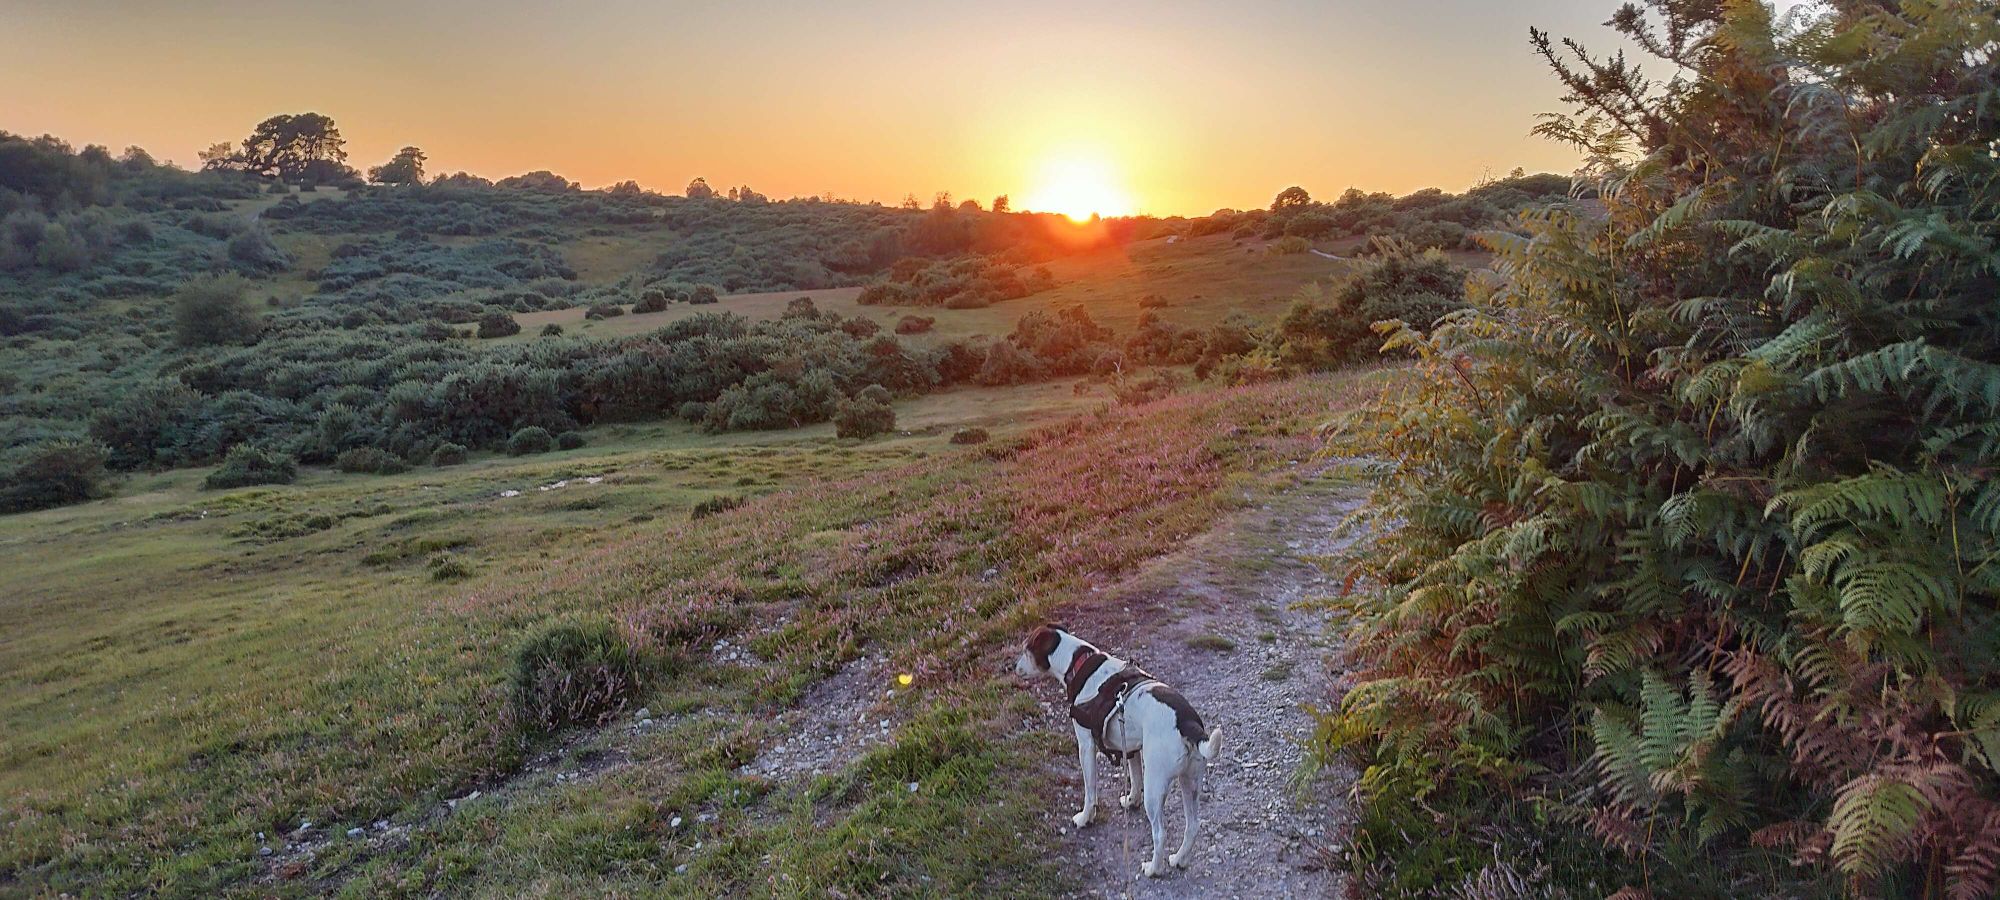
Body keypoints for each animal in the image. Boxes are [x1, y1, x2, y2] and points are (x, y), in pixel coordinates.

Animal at [1016, 624, 1216, 876]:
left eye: (1026, 649)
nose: (1013, 667)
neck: (1078, 662)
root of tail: (1187, 723)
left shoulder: (1086, 746)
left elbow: (1090, 791)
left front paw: (1085, 818)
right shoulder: (1130, 747)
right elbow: (1135, 779)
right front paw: (1131, 801)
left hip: (1156, 786)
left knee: (1160, 834)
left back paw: (1153, 868)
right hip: (1190, 781)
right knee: (1193, 825)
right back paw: (1179, 859)